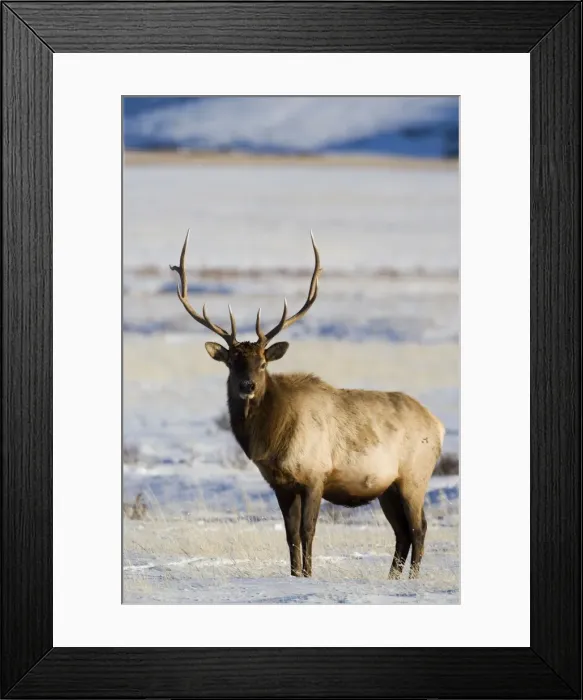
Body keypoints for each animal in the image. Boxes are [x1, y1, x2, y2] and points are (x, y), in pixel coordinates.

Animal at [170, 230, 445, 579]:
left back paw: (411, 579)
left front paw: (309, 575)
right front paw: (295, 574)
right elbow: (290, 534)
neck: (271, 440)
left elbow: (308, 530)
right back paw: (392, 579)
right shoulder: (280, 484)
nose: (247, 386)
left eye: (262, 363)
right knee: (402, 533)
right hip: (388, 488)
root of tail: (438, 424)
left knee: (419, 528)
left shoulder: (316, 475)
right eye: (232, 363)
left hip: (415, 476)